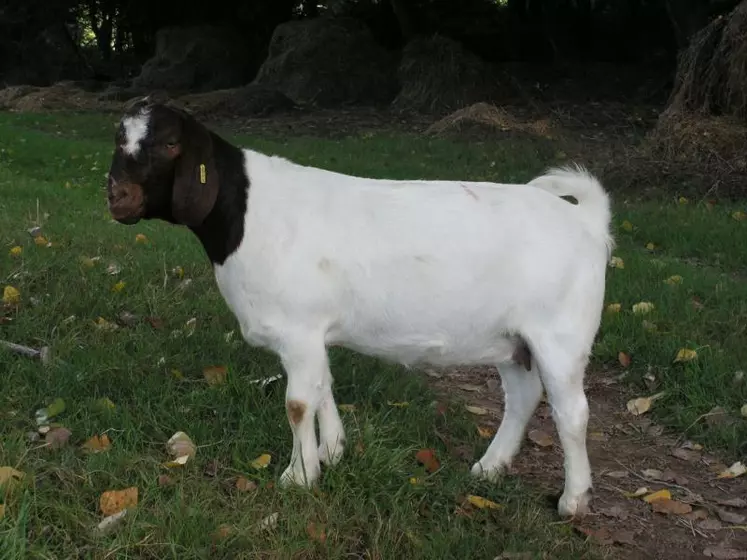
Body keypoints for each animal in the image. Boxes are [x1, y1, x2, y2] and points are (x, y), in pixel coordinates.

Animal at [108, 95, 616, 516]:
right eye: (119, 138)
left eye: (171, 142)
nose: (117, 196)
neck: (248, 217)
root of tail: (586, 220)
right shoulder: (313, 333)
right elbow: (321, 387)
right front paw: (331, 452)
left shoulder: (299, 329)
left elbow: (298, 402)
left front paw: (298, 477)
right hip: (511, 340)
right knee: (523, 397)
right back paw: (488, 469)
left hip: (560, 335)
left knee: (572, 412)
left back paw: (573, 501)